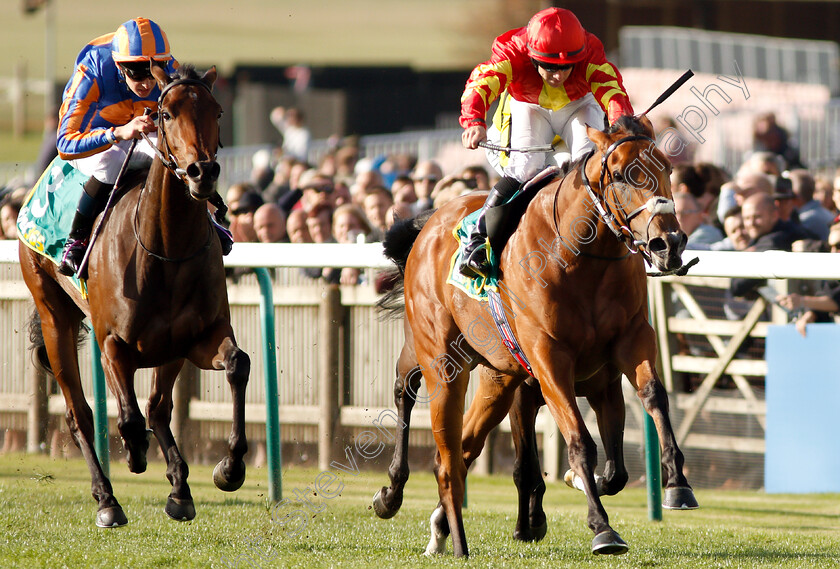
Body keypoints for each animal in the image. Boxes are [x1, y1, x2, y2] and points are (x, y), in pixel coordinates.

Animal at [18, 64, 249, 524]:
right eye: (165, 114)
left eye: (217, 111)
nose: (202, 172)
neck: (167, 249)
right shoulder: (112, 344)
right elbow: (125, 415)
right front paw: (134, 452)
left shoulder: (198, 337)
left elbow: (237, 364)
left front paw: (228, 469)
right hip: (54, 316)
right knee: (80, 414)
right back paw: (107, 499)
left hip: (170, 350)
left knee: (159, 407)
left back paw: (180, 489)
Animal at [374, 114, 696, 556]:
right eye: (618, 175)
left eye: (667, 169)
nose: (670, 243)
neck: (582, 259)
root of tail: (430, 223)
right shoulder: (548, 359)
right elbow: (579, 441)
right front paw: (601, 527)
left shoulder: (626, 348)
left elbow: (648, 410)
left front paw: (677, 484)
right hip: (439, 355)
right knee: (412, 395)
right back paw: (407, 502)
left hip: (496, 377)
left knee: (463, 445)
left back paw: (437, 524)